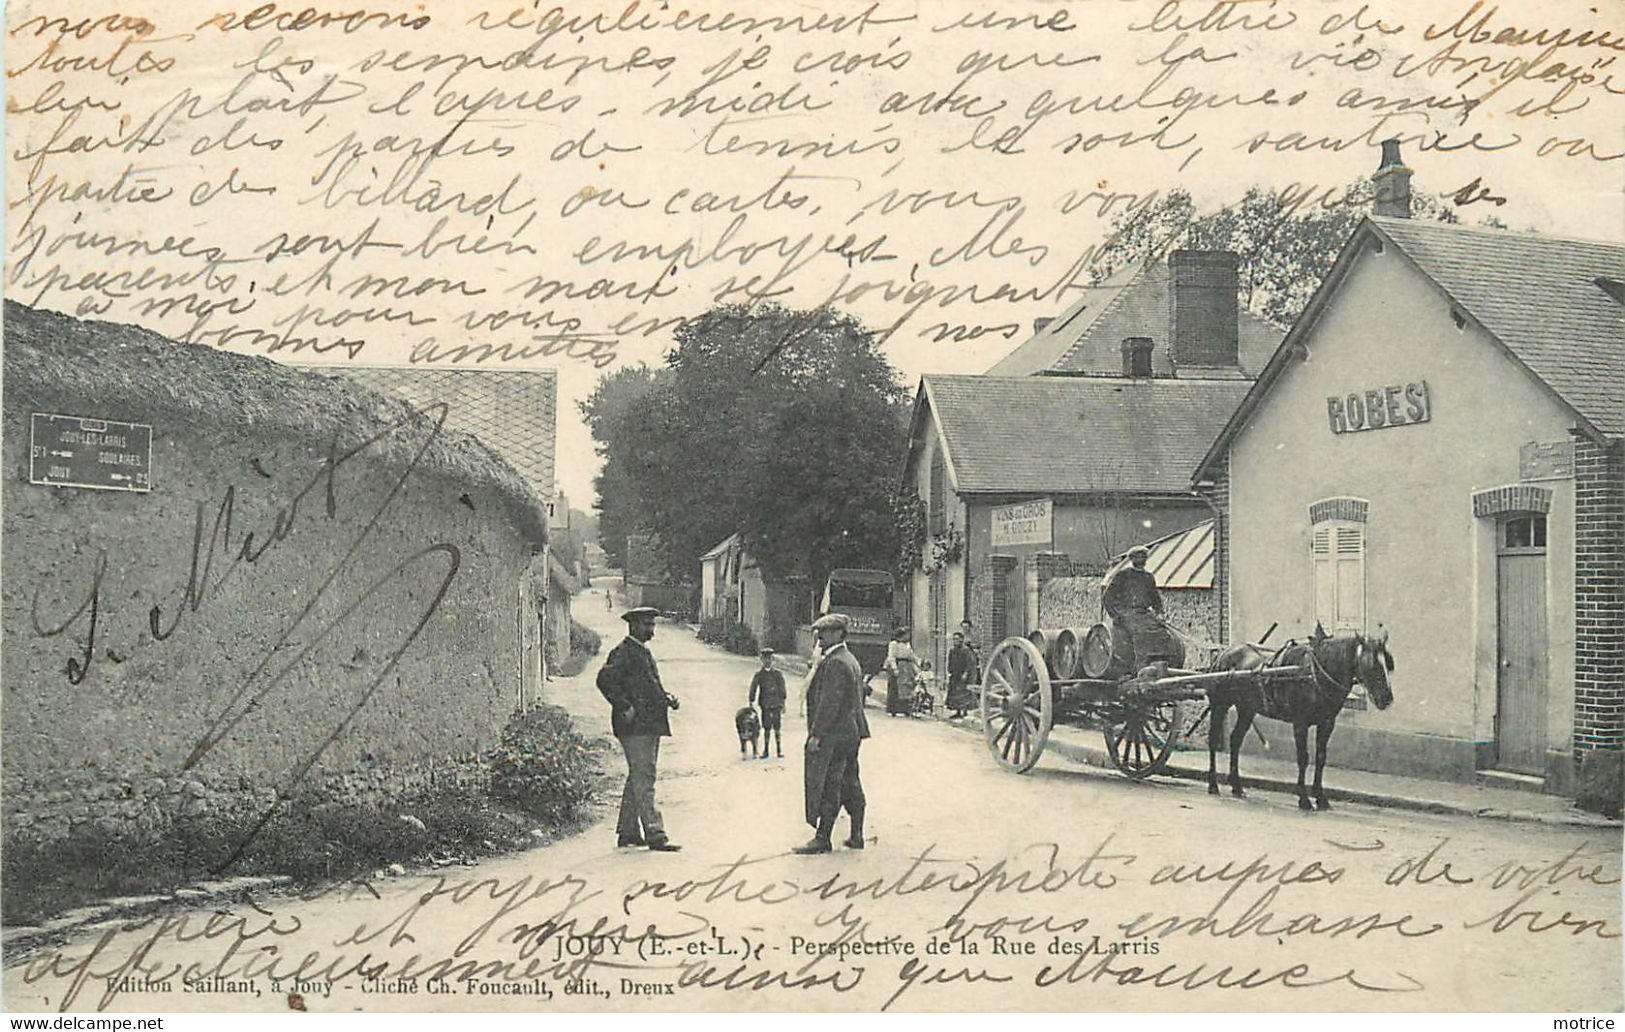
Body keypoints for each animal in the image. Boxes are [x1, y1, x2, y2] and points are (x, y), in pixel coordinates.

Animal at [1209, 627, 1397, 812]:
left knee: (1235, 740)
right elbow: (1303, 758)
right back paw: (1213, 785)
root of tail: (1224, 652)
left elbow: (1321, 757)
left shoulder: (1327, 723)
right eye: (1372, 664)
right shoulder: (1300, 722)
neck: (1314, 673)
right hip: (1220, 704)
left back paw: (1237, 787)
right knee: (1213, 739)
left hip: (1247, 709)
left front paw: (1320, 798)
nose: (1387, 698)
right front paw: (1304, 799)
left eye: (1388, 663)